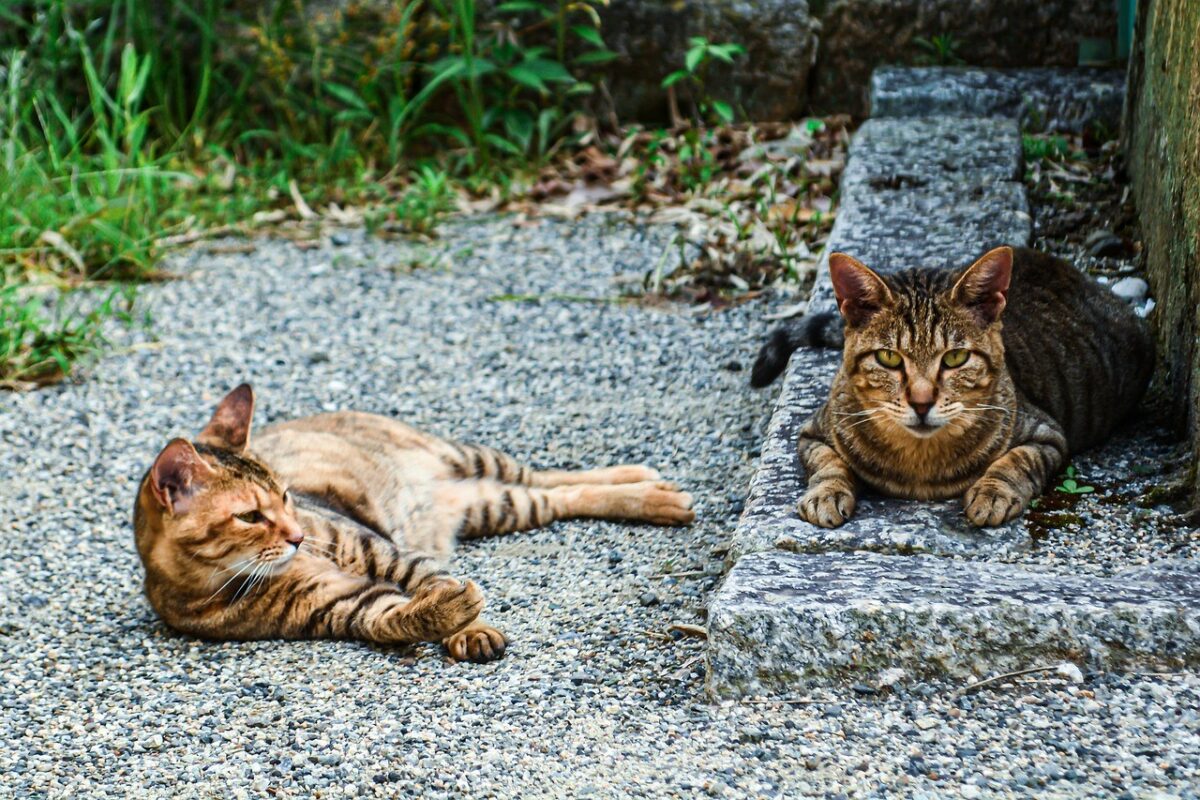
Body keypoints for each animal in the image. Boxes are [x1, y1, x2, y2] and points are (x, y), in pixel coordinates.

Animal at [133, 383, 696, 662]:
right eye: (250, 516)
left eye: (288, 497)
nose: (297, 535)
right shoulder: (342, 605)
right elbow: (395, 616)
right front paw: (450, 617)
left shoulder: (376, 547)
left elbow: (428, 574)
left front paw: (471, 626)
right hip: (495, 504)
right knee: (557, 495)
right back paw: (655, 493)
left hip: (474, 460)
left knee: (554, 476)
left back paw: (650, 486)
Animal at [748, 247, 1152, 527]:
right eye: (889, 358)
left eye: (955, 358)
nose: (922, 401)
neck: (920, 462)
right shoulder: (813, 430)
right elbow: (828, 463)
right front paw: (827, 491)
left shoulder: (1048, 434)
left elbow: (1017, 461)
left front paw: (992, 491)